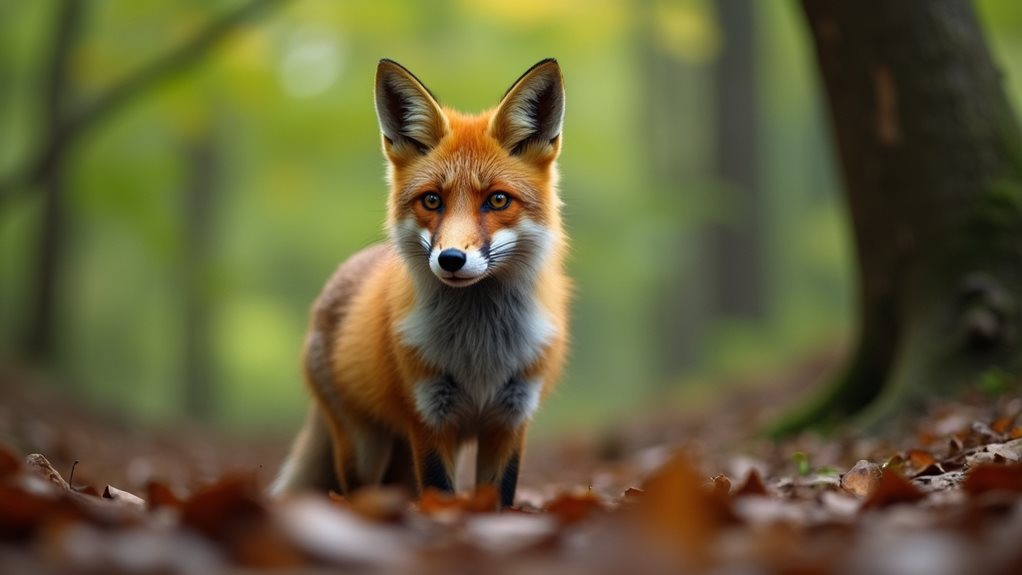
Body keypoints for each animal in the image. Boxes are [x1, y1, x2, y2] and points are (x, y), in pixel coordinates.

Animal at [271, 58, 570, 509]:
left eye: (498, 200)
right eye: (432, 200)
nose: (451, 259)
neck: (479, 351)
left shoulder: (510, 419)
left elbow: (497, 499)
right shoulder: (428, 417)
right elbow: (440, 493)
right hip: (364, 446)